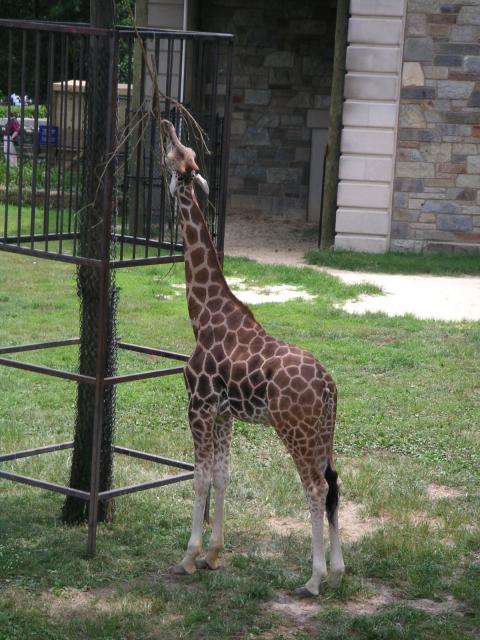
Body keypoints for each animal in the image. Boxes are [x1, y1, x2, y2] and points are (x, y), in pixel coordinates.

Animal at [161, 120, 344, 597]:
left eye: (176, 153)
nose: (167, 124)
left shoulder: (198, 404)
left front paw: (188, 557)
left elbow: (200, 476)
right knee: (335, 482)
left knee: (315, 488)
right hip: (325, 431)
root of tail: (329, 386)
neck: (203, 314)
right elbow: (222, 475)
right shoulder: (224, 411)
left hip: (294, 430)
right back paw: (338, 569)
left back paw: (314, 578)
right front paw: (213, 554)